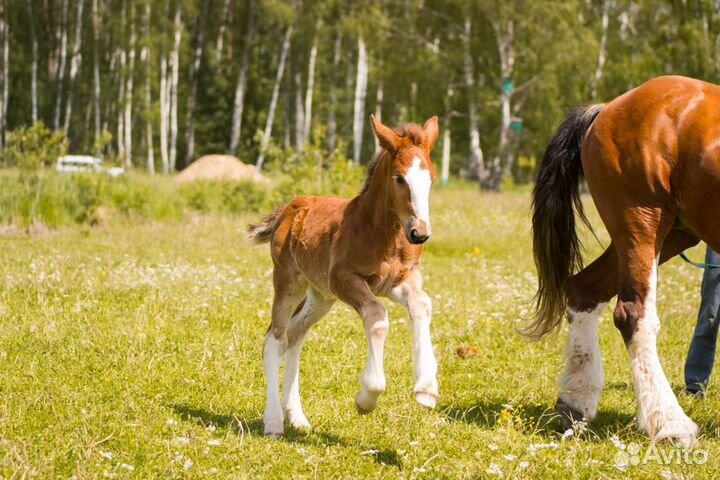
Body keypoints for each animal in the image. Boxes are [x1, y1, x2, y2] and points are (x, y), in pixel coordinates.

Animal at [248, 115, 440, 438]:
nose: (420, 233)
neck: (383, 232)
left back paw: (296, 416)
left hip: (321, 295)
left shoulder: (399, 280)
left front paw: (426, 387)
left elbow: (421, 304)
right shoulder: (344, 278)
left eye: (432, 179)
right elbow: (377, 315)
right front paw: (367, 397)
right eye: (400, 178)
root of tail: (289, 208)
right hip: (289, 281)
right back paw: (274, 421)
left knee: (294, 335)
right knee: (274, 338)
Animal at [529, 75, 720, 446]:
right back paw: (671, 424)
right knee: (633, 314)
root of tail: (608, 108)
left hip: (674, 232)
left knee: (584, 288)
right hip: (642, 222)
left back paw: (576, 402)